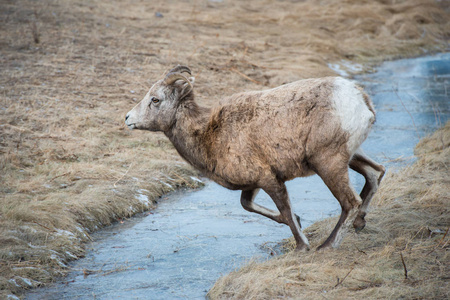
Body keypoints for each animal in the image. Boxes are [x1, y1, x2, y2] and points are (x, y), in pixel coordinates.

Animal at [125, 66, 384, 251]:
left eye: (155, 99)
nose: (127, 118)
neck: (209, 134)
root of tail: (359, 98)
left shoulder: (269, 179)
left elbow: (284, 209)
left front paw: (302, 247)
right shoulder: (252, 184)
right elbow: (248, 205)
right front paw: (299, 221)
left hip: (328, 164)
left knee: (350, 202)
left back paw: (326, 246)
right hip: (349, 156)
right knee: (375, 172)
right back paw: (360, 223)